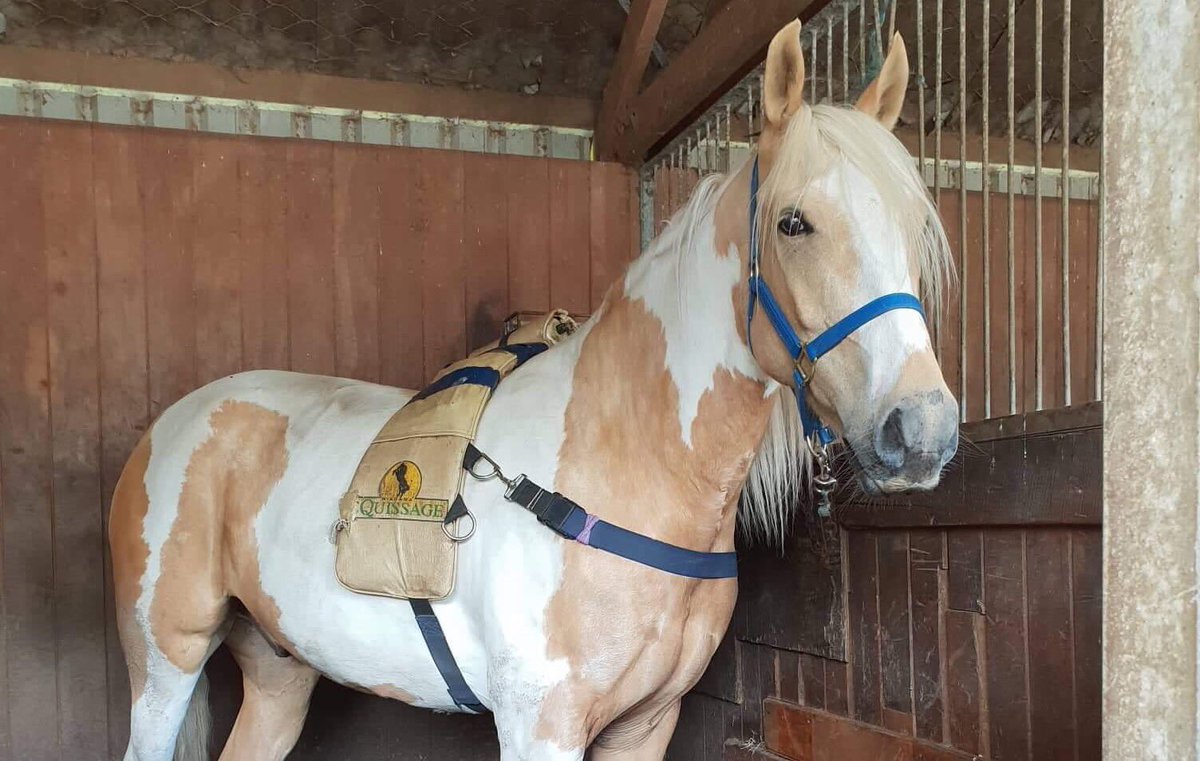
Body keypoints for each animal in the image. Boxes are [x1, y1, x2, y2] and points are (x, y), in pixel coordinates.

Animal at [110, 19, 957, 761]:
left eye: (916, 224)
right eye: (793, 222)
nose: (922, 428)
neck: (618, 473)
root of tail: (170, 427)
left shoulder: (645, 725)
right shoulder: (540, 727)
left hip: (279, 670)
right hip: (165, 662)